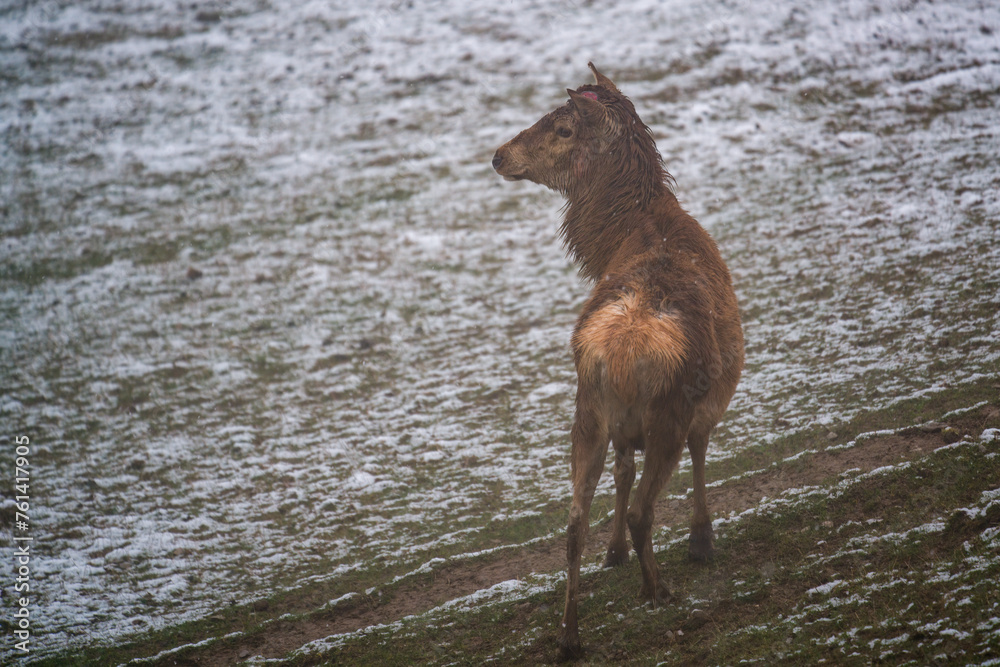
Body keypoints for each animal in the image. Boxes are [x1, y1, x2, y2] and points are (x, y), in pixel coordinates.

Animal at [492, 63, 744, 658]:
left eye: (562, 127)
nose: (498, 155)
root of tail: (623, 352)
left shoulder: (620, 426)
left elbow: (622, 471)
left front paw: (614, 556)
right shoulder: (711, 398)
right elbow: (702, 451)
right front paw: (702, 541)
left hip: (586, 412)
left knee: (572, 525)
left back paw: (569, 636)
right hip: (665, 414)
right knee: (642, 510)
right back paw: (657, 591)